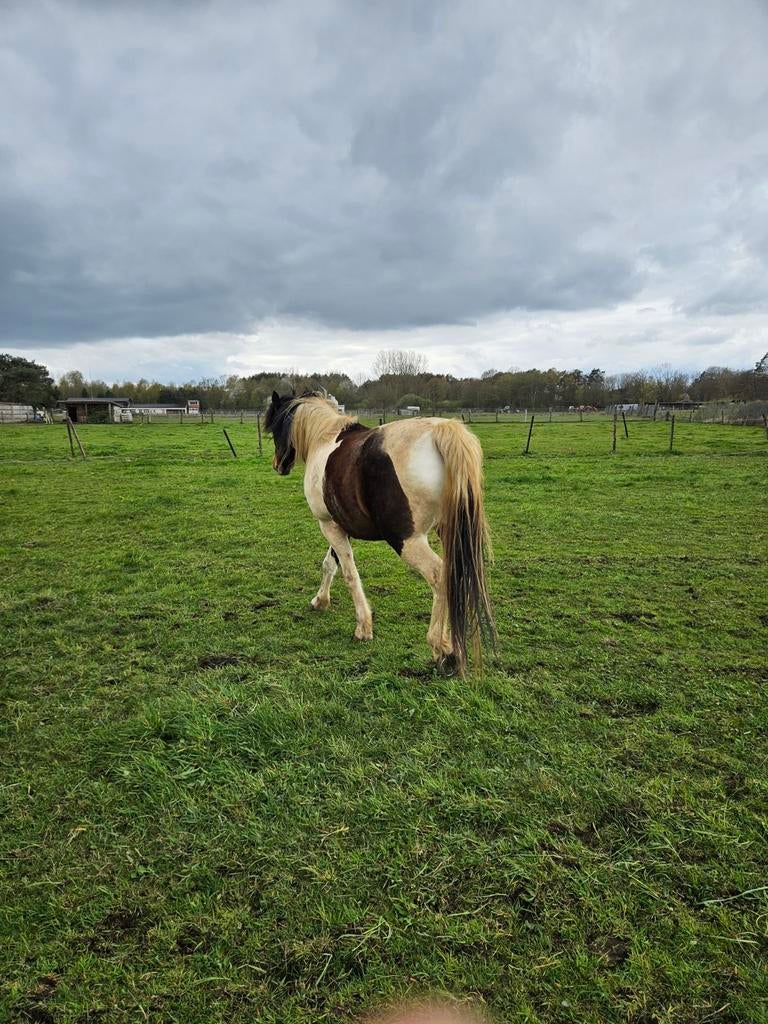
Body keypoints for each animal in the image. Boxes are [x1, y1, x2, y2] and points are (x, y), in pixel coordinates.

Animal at [264, 391, 495, 675]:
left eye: (276, 427)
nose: (277, 465)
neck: (324, 439)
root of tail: (440, 431)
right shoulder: (339, 525)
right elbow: (330, 564)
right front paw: (320, 600)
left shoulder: (328, 525)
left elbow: (349, 574)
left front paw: (363, 627)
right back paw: (452, 644)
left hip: (406, 541)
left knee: (439, 575)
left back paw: (441, 647)